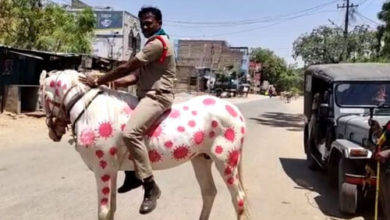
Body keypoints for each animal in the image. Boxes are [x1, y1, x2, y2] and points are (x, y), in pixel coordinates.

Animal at [38, 69, 247, 219]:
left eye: (43, 98)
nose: (53, 133)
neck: (92, 111)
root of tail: (235, 110)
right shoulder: (111, 171)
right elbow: (111, 210)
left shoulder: (102, 170)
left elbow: (103, 212)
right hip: (201, 160)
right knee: (209, 193)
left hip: (226, 162)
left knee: (239, 199)